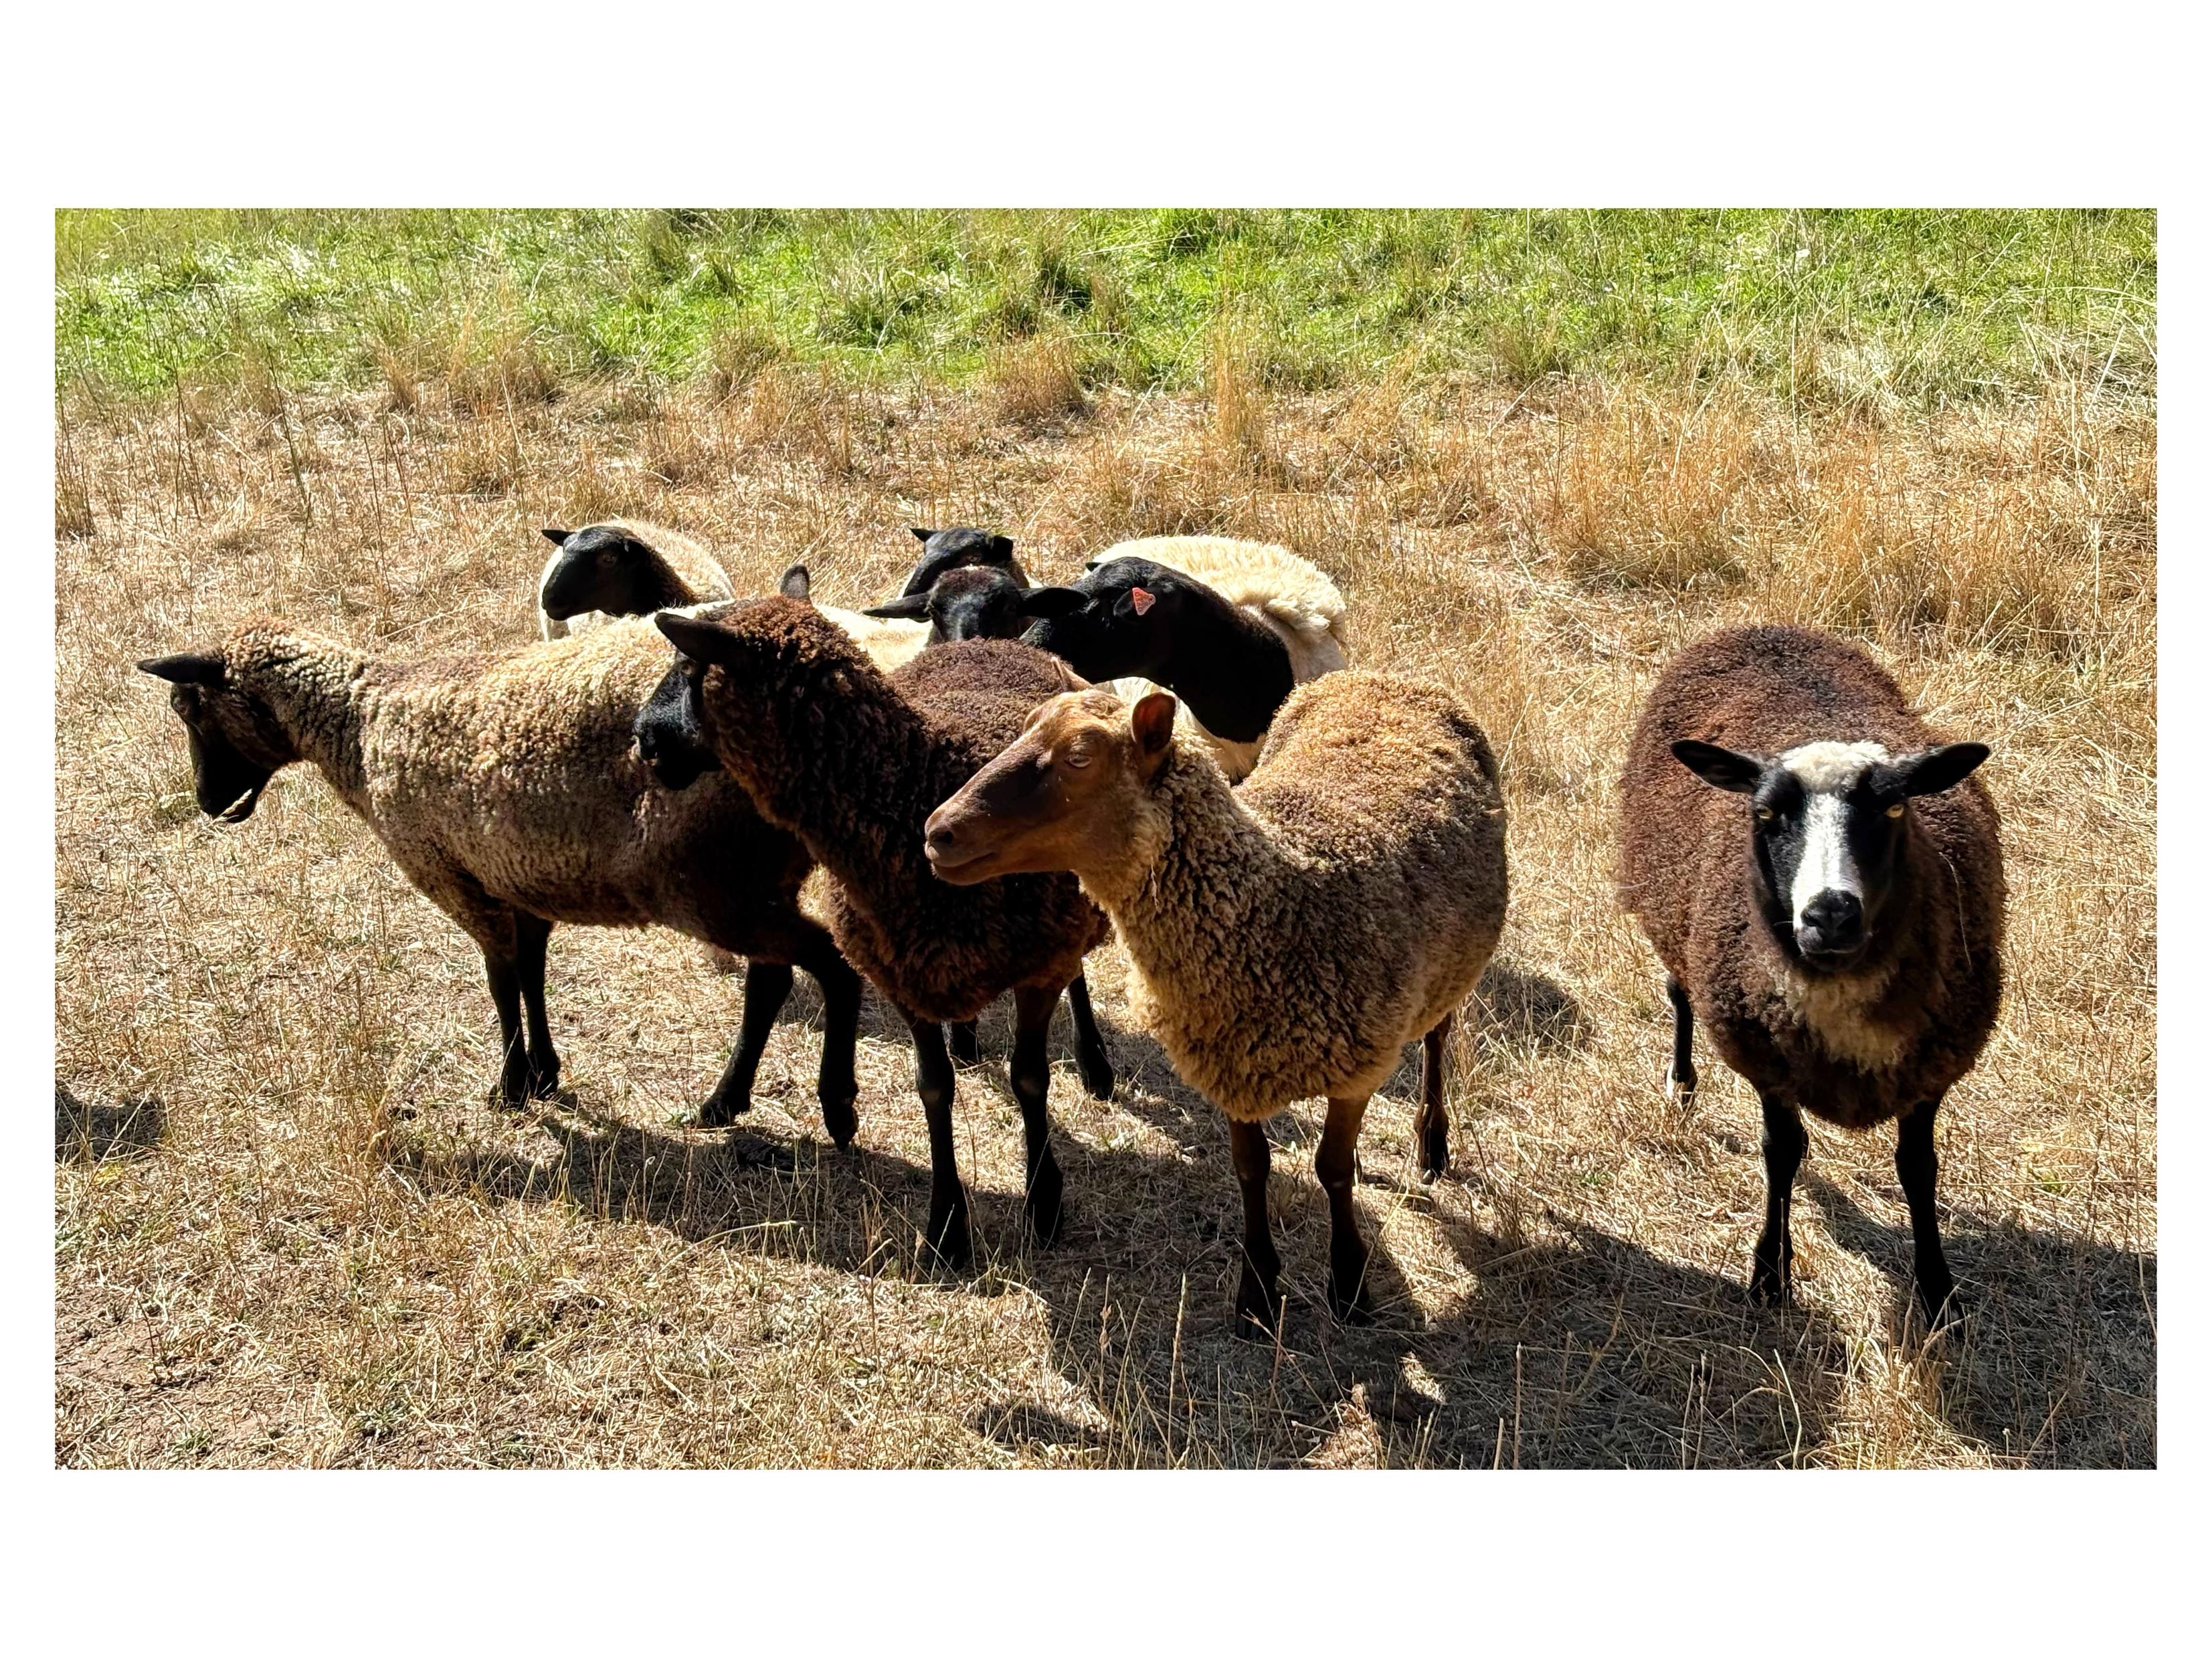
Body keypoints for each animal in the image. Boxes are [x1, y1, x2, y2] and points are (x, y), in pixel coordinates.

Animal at [136, 614, 863, 1139]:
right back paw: (721, 1103)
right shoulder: (519, 878)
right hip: (748, 879)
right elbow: (531, 975)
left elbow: (499, 981)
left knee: (831, 963)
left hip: (709, 882)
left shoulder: (453, 876)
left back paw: (837, 1107)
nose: (207, 802)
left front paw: (512, 1087)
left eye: (187, 708)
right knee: (771, 982)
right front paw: (543, 1074)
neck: (360, 726)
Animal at [645, 598, 1117, 1266]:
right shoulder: (903, 972)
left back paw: (1095, 1063)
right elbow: (934, 1089)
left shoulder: (1040, 962)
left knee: (1078, 974)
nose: (643, 738)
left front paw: (1044, 1202)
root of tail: (1000, 643)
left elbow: (1030, 1078)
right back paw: (966, 1036)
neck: (916, 787)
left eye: (689, 667)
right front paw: (947, 1229)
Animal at [921, 673, 1508, 1332]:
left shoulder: (1359, 1065)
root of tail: (1386, 677)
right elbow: (1251, 1168)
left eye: (1079, 758)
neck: (1280, 904)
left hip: (1454, 964)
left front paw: (1350, 1285)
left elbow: (1329, 1171)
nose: (938, 832)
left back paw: (1433, 1141)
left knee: (1438, 1034)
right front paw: (1256, 1295)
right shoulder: (1231, 1060)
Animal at [1616, 624, 2005, 1323]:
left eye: (1894, 810)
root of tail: (1762, 628)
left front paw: (1938, 1293)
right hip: (1670, 919)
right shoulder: (1768, 1060)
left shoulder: (1931, 1066)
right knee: (1678, 993)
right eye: (1766, 814)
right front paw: (1770, 1273)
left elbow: (1919, 1168)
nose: (1831, 915)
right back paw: (1681, 1083)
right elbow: (1783, 1153)